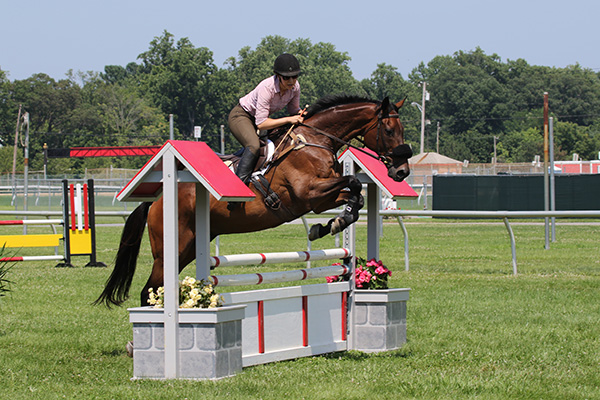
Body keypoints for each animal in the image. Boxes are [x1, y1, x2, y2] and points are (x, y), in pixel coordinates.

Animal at [95, 94, 412, 306]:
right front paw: (327, 226)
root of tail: (157, 200)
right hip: (170, 249)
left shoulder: (320, 198)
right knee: (150, 290)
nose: (402, 171)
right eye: (389, 130)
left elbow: (355, 196)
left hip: (190, 248)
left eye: (402, 130)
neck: (314, 142)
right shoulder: (309, 193)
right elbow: (354, 182)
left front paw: (330, 225)